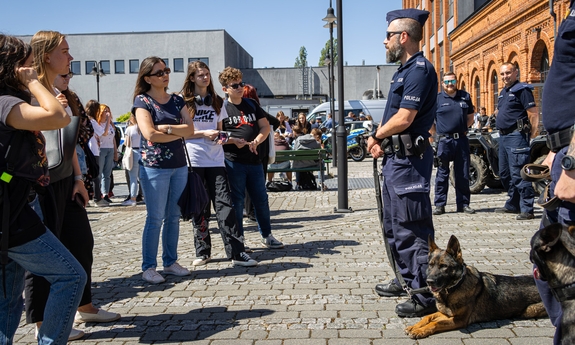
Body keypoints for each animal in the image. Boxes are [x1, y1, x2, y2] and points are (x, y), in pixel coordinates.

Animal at [408, 232, 548, 338]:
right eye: (430, 265)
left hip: (530, 310)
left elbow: (435, 323)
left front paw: (420, 331)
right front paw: (414, 326)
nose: (429, 281)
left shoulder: (459, 320)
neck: (453, 288)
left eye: (444, 266)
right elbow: (428, 317)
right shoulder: (447, 314)